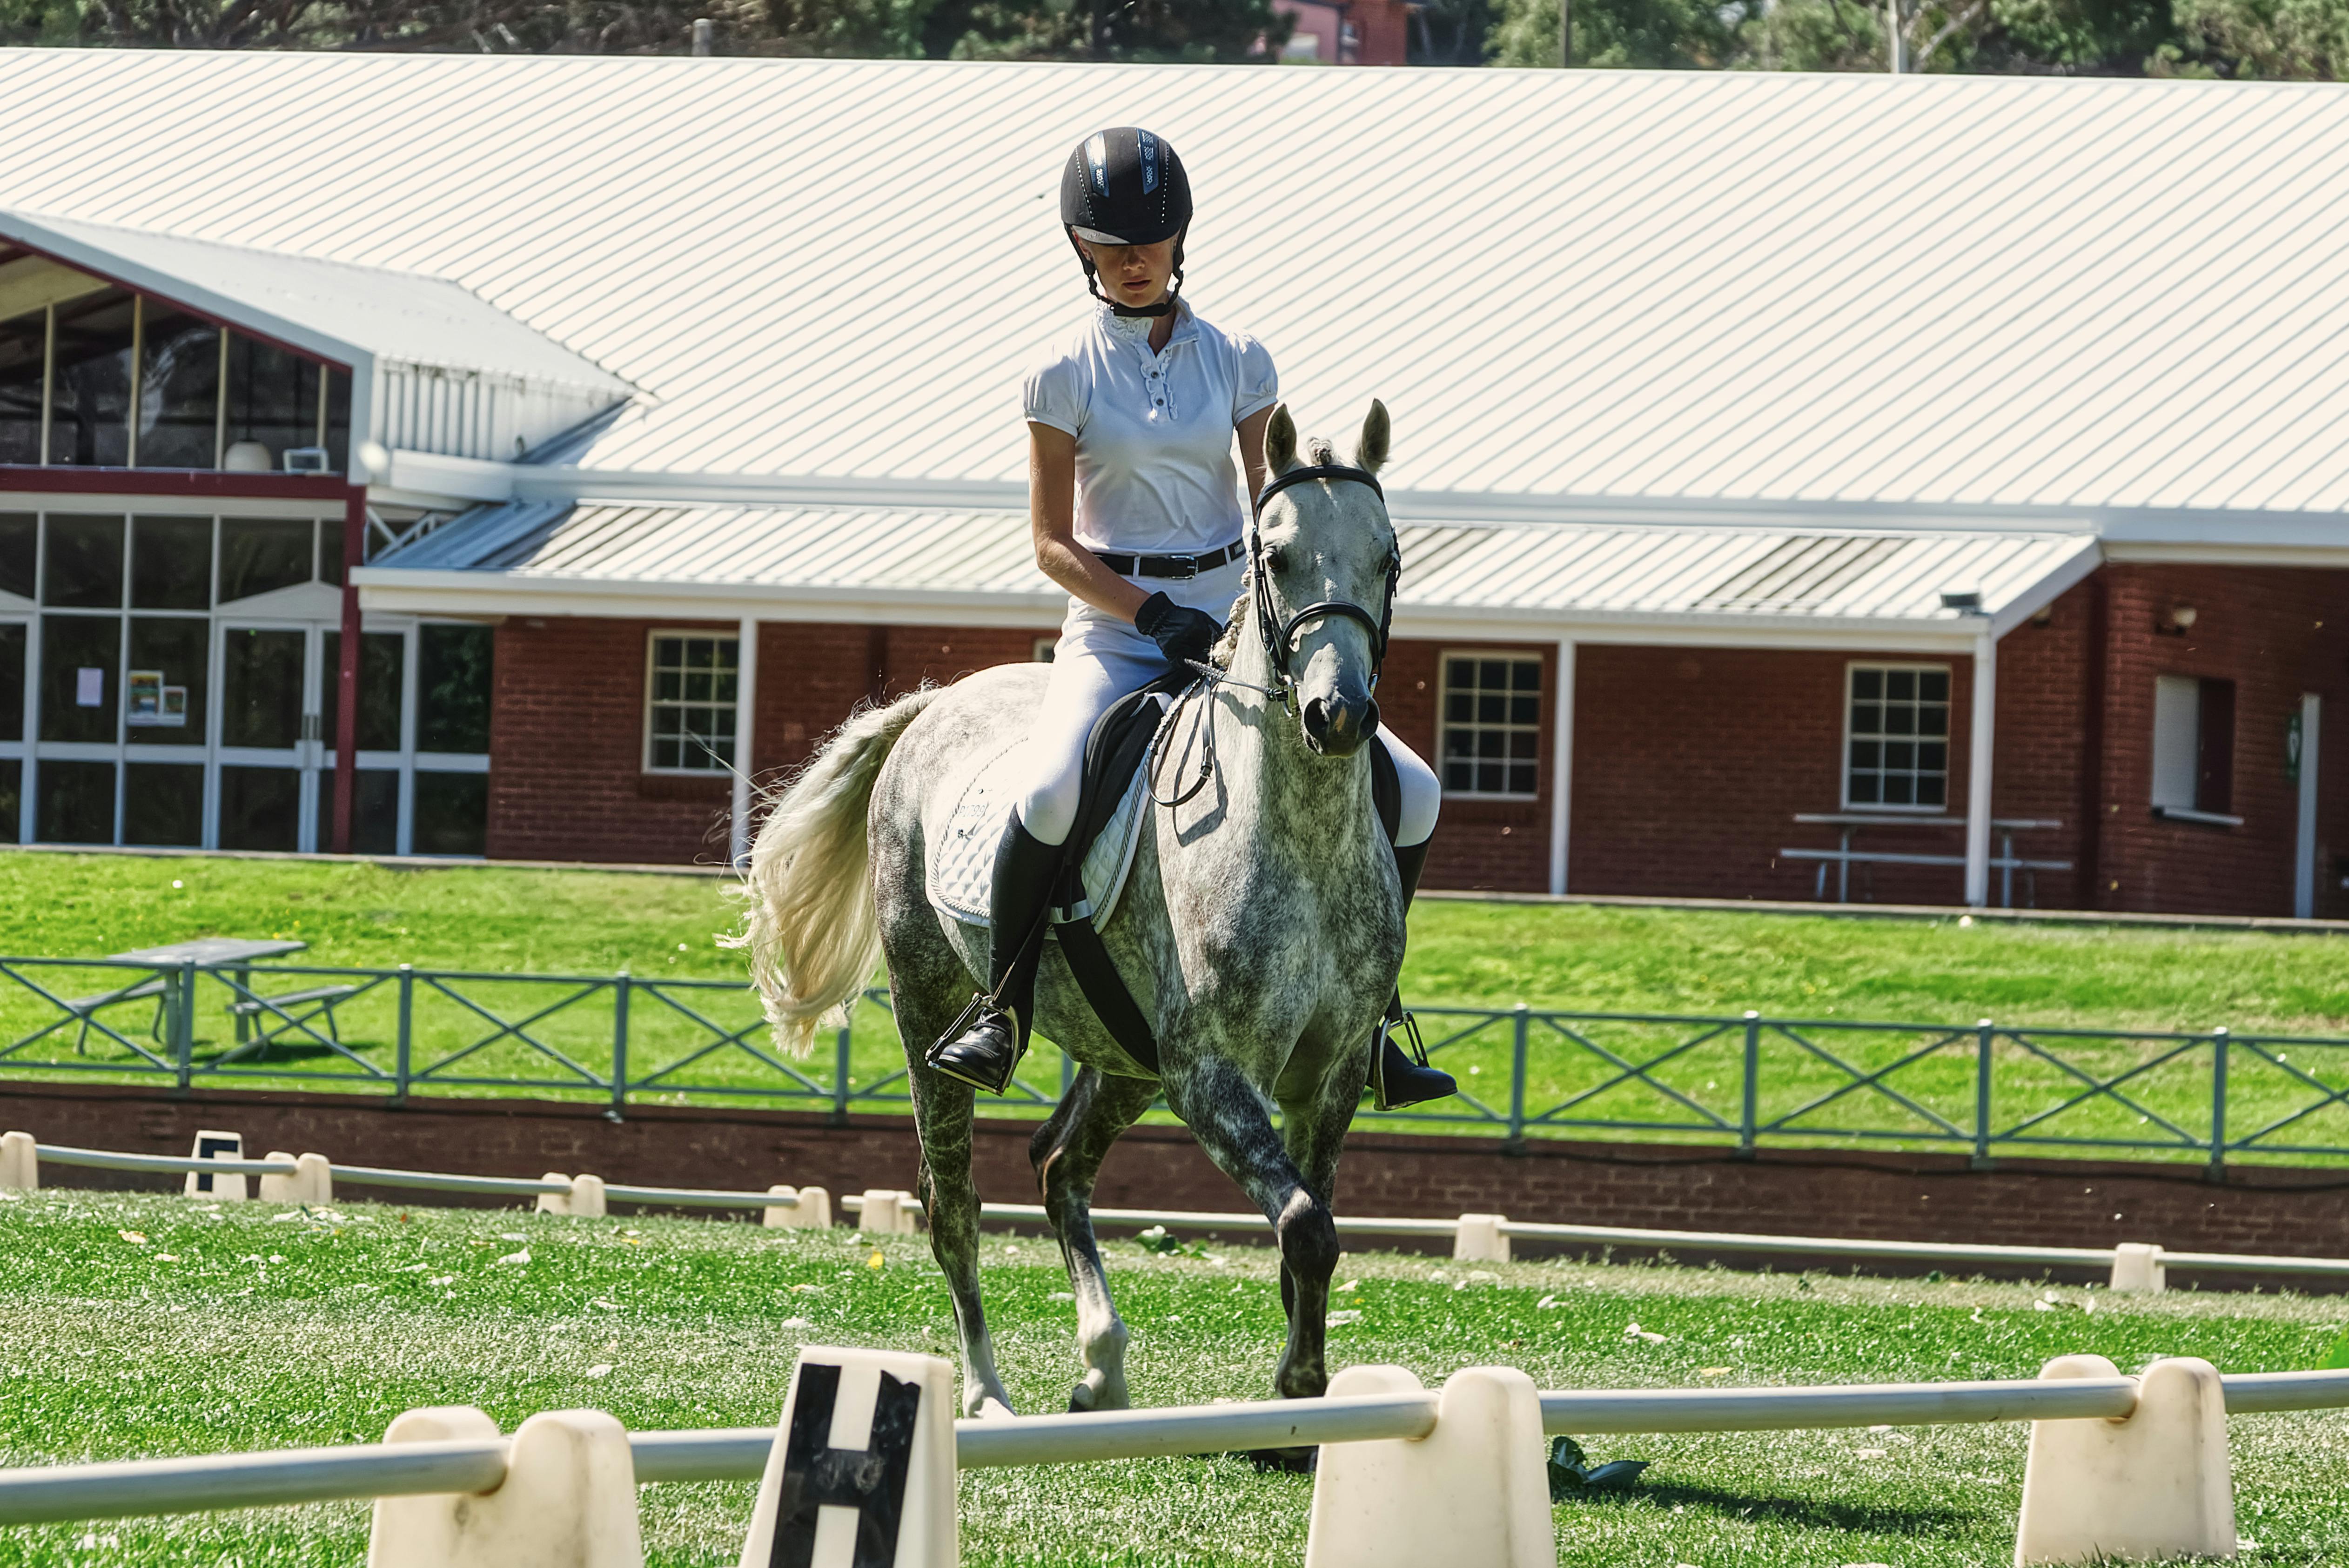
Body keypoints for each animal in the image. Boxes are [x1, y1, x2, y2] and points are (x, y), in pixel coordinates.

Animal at [734, 400, 1408, 1421]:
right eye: (1277, 556)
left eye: (1388, 557)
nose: (1337, 716)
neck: (1300, 836)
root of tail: (935, 705)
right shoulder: (1207, 1076)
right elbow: (1304, 1227)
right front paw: (1292, 1404)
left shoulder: (1326, 1078)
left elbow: (1315, 1235)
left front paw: (1304, 1401)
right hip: (932, 1009)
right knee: (955, 1207)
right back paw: (986, 1392)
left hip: (1125, 1053)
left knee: (1061, 1167)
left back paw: (1101, 1363)